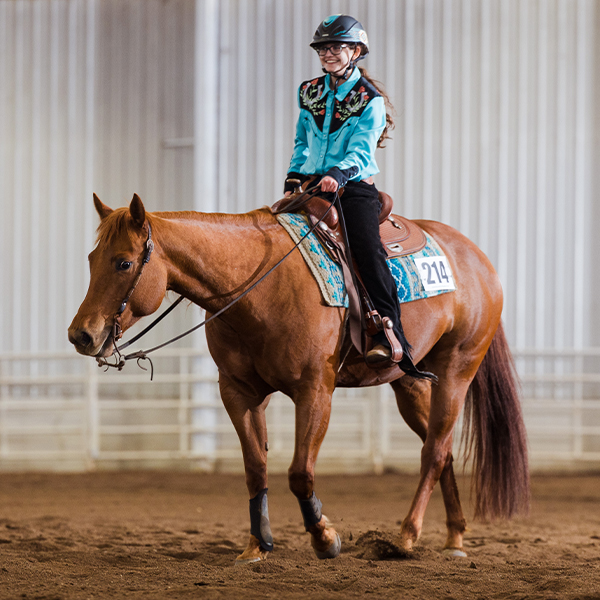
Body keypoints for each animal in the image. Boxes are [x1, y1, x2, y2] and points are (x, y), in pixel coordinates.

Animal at [69, 196, 528, 564]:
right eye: (91, 259)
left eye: (124, 262)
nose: (81, 335)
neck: (259, 286)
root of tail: (476, 257)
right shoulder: (239, 392)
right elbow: (256, 468)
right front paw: (257, 546)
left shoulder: (315, 391)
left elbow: (299, 471)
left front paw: (325, 538)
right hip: (410, 383)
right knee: (442, 448)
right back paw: (454, 538)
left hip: (456, 370)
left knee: (433, 452)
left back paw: (405, 537)